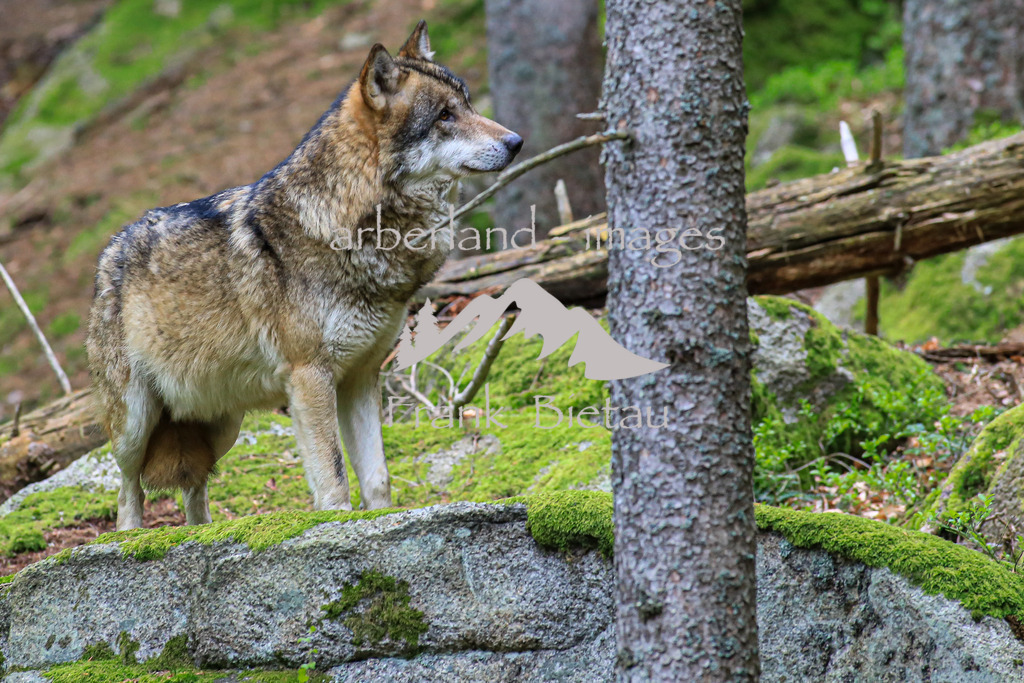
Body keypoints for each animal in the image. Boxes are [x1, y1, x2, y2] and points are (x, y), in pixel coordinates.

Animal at [86, 21, 522, 530]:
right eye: (445, 116)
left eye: (469, 104)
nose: (517, 142)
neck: (354, 224)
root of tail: (110, 251)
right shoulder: (311, 377)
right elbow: (334, 479)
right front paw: (336, 528)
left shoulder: (362, 376)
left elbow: (377, 478)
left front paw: (382, 523)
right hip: (135, 424)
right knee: (127, 489)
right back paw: (133, 539)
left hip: (221, 424)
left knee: (194, 487)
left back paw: (201, 533)